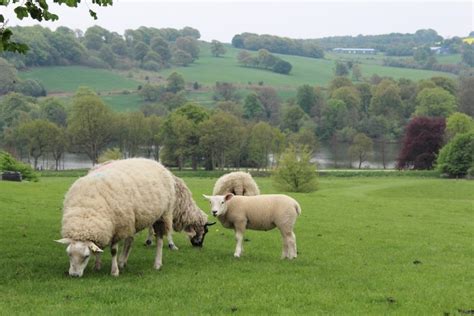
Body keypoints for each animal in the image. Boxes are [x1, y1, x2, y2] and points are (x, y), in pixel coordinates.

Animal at [54, 158, 214, 276]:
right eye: (69, 254)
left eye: (86, 256)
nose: (74, 275)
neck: (87, 211)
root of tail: (154, 161)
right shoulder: (107, 226)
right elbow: (100, 247)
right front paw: (98, 265)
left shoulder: (118, 226)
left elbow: (113, 250)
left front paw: (114, 271)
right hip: (137, 218)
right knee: (130, 240)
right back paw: (123, 261)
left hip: (162, 215)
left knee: (159, 240)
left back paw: (157, 263)